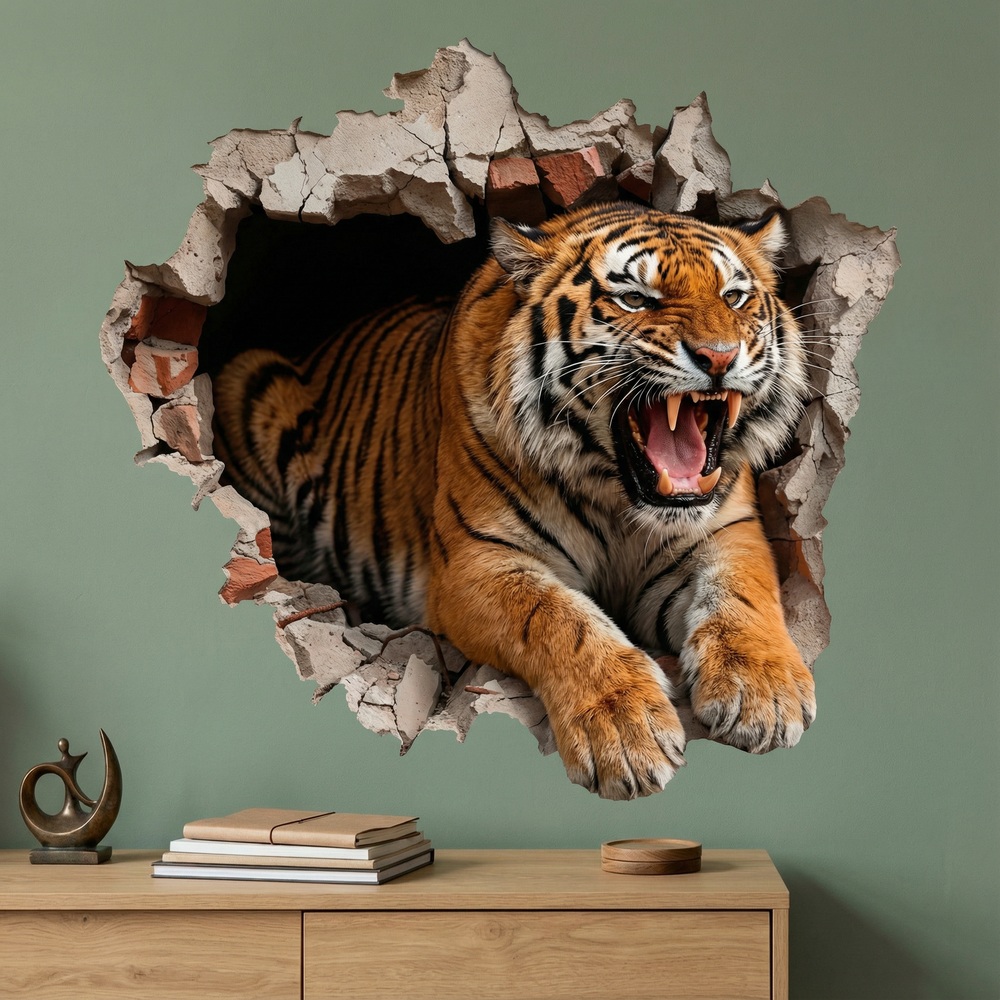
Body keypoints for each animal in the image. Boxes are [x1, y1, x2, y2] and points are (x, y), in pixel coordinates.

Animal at [212, 200, 817, 800]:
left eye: (733, 297)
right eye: (635, 298)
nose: (719, 357)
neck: (618, 498)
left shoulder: (727, 530)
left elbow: (741, 595)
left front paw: (763, 695)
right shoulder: (477, 561)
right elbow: (560, 619)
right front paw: (624, 730)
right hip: (249, 381)